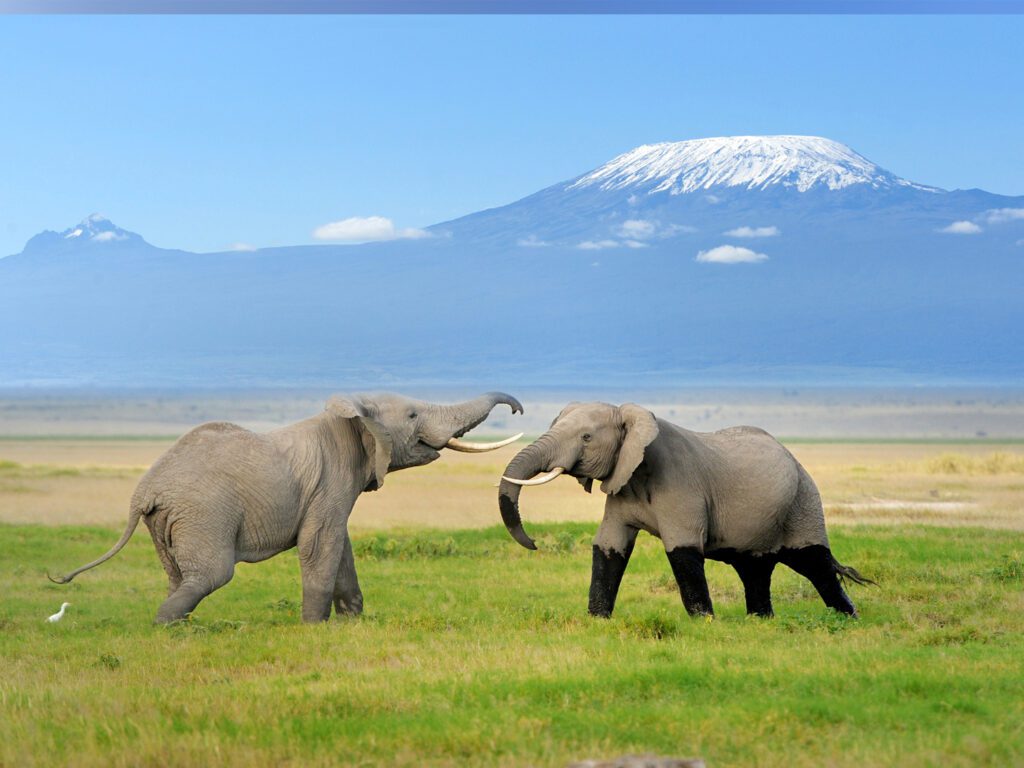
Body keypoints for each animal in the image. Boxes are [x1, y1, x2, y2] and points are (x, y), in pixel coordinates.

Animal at [50, 391, 523, 623]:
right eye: (411, 416)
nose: (518, 408)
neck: (350, 416)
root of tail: (143, 493)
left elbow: (340, 546)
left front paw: (352, 623)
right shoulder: (331, 480)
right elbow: (321, 545)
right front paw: (314, 628)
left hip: (167, 522)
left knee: (178, 577)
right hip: (202, 513)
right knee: (212, 575)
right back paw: (169, 629)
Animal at [498, 402, 874, 619]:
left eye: (587, 437)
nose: (533, 544)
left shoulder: (681, 486)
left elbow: (682, 550)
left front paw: (704, 623)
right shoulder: (622, 482)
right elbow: (609, 546)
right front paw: (597, 620)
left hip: (803, 500)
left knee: (814, 563)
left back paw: (848, 619)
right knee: (755, 569)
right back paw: (760, 621)